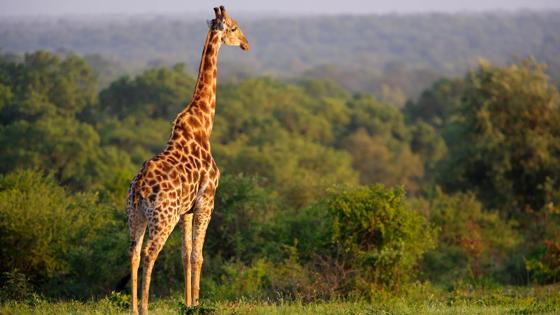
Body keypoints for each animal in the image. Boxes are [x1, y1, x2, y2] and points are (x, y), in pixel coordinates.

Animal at [127, 6, 249, 314]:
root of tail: (139, 189)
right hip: (163, 217)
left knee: (133, 252)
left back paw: (132, 307)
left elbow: (185, 254)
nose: (246, 44)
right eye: (234, 27)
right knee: (150, 253)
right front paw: (196, 302)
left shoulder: (187, 210)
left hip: (134, 215)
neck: (204, 125)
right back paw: (144, 307)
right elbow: (198, 255)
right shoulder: (207, 202)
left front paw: (188, 302)